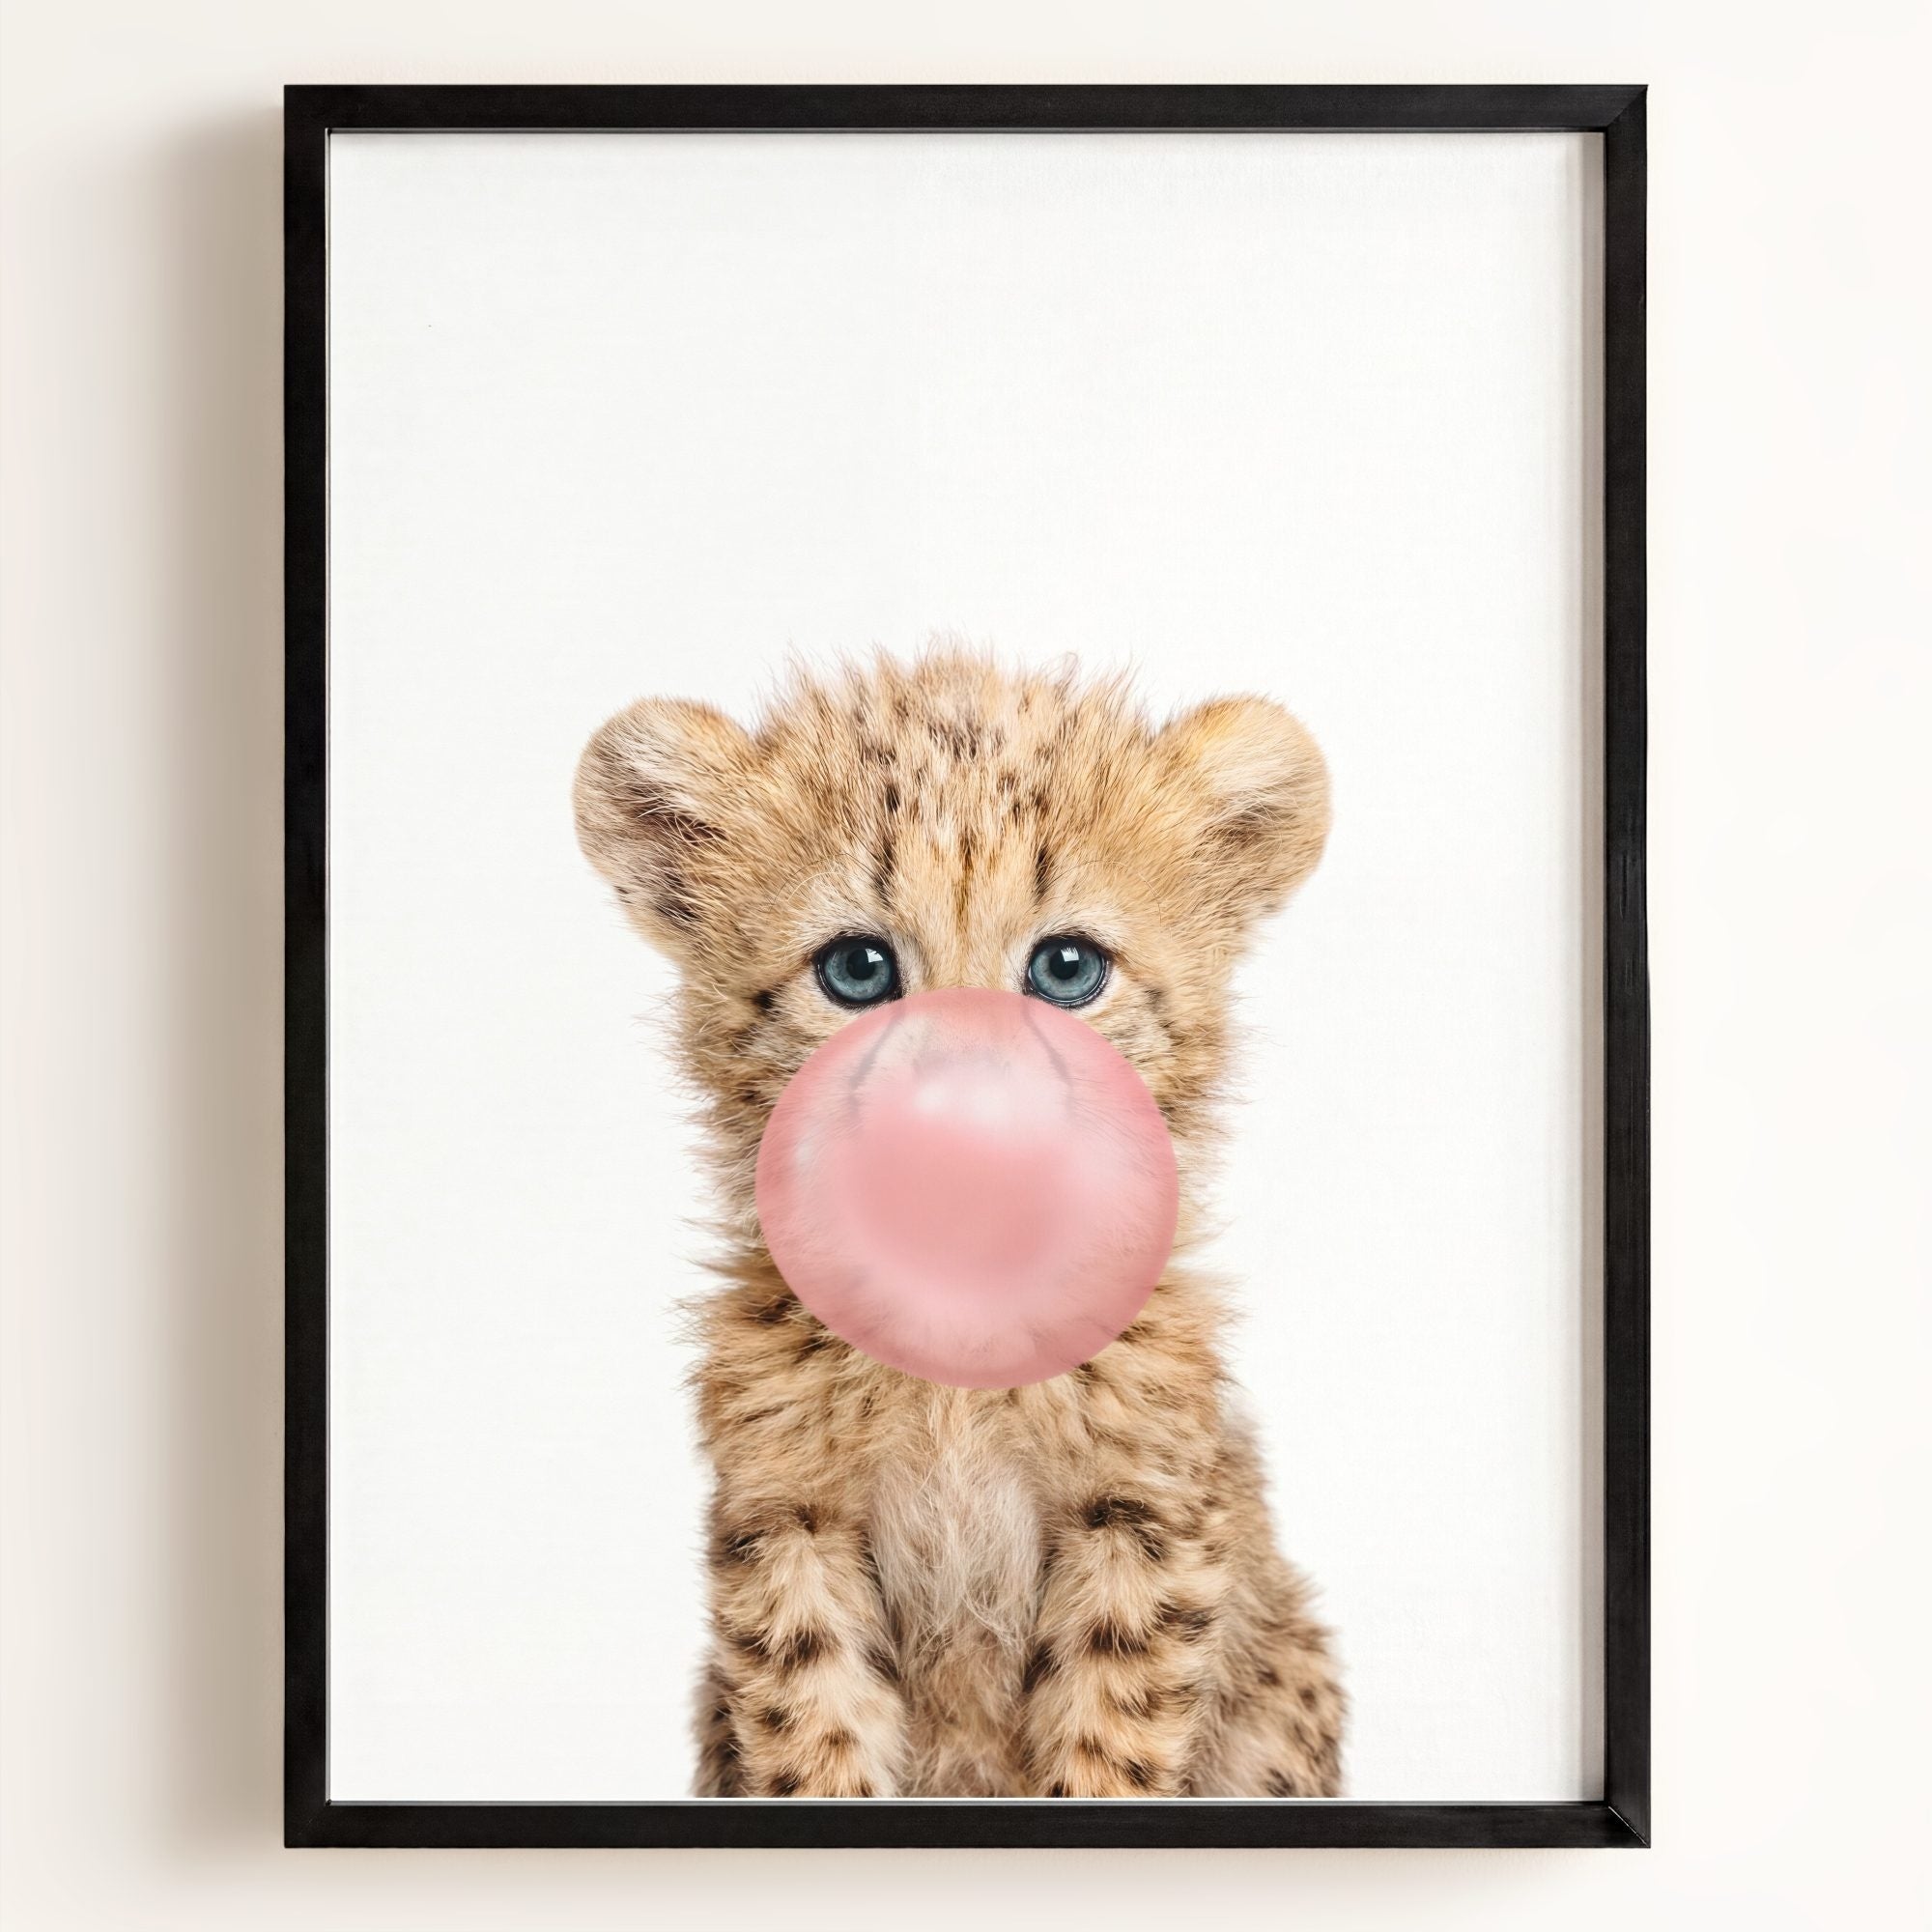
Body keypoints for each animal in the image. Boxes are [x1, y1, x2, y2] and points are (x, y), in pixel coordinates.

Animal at [574, 648, 1344, 1798]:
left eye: (1067, 968)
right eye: (857, 968)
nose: (963, 1111)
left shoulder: (1139, 1517)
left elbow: (1107, 1744)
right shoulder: (789, 1522)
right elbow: (813, 1737)